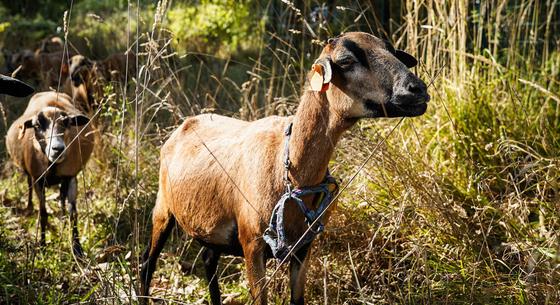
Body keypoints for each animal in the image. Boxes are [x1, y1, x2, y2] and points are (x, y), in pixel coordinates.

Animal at [5, 90, 94, 254]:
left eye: (67, 123)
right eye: (36, 125)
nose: (58, 149)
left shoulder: (71, 177)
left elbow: (73, 213)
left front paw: (77, 249)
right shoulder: (38, 181)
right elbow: (43, 213)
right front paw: (42, 245)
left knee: (62, 195)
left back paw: (62, 214)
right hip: (30, 174)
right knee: (29, 184)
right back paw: (29, 207)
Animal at [139, 31, 428, 304]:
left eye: (394, 53)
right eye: (347, 61)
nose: (417, 90)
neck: (289, 168)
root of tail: (185, 124)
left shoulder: (303, 247)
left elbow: (296, 299)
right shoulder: (252, 244)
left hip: (211, 226)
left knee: (208, 261)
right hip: (163, 209)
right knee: (147, 263)